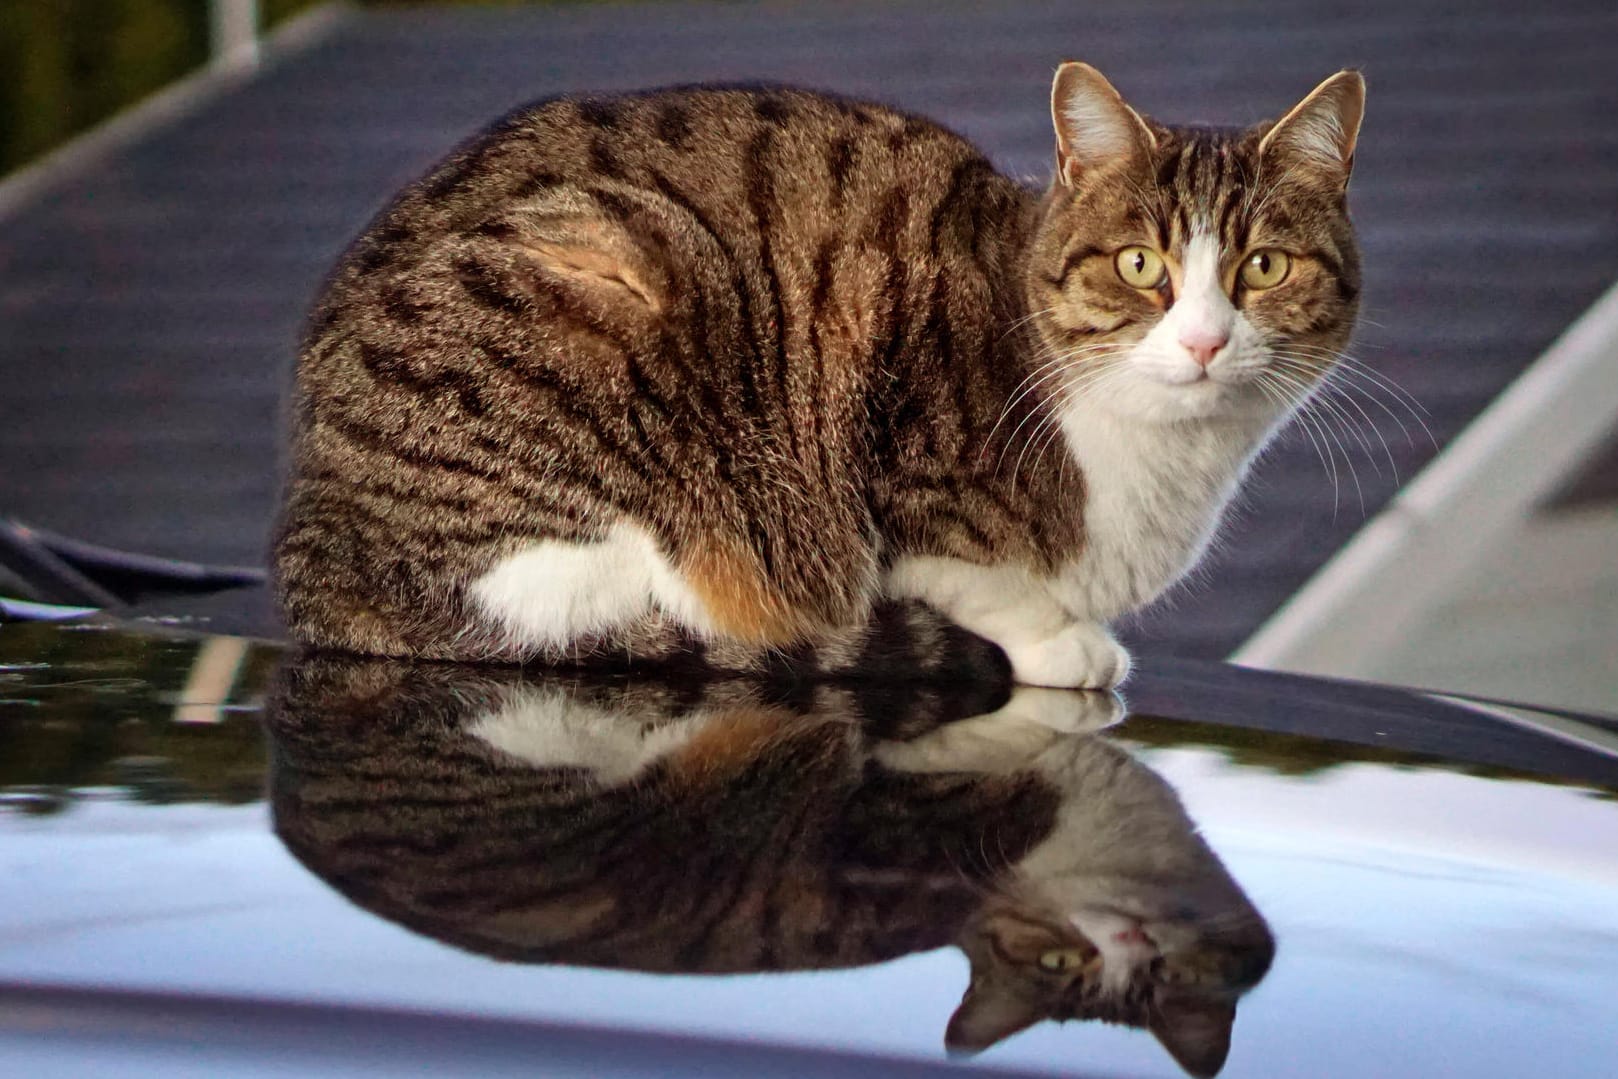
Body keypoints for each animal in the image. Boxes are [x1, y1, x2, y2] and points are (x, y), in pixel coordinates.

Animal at [271, 63, 1359, 689]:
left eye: (1264, 268)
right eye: (1141, 265)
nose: (1206, 342)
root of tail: (312, 550)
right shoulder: (906, 467)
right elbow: (979, 578)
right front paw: (1066, 642)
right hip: (619, 283)